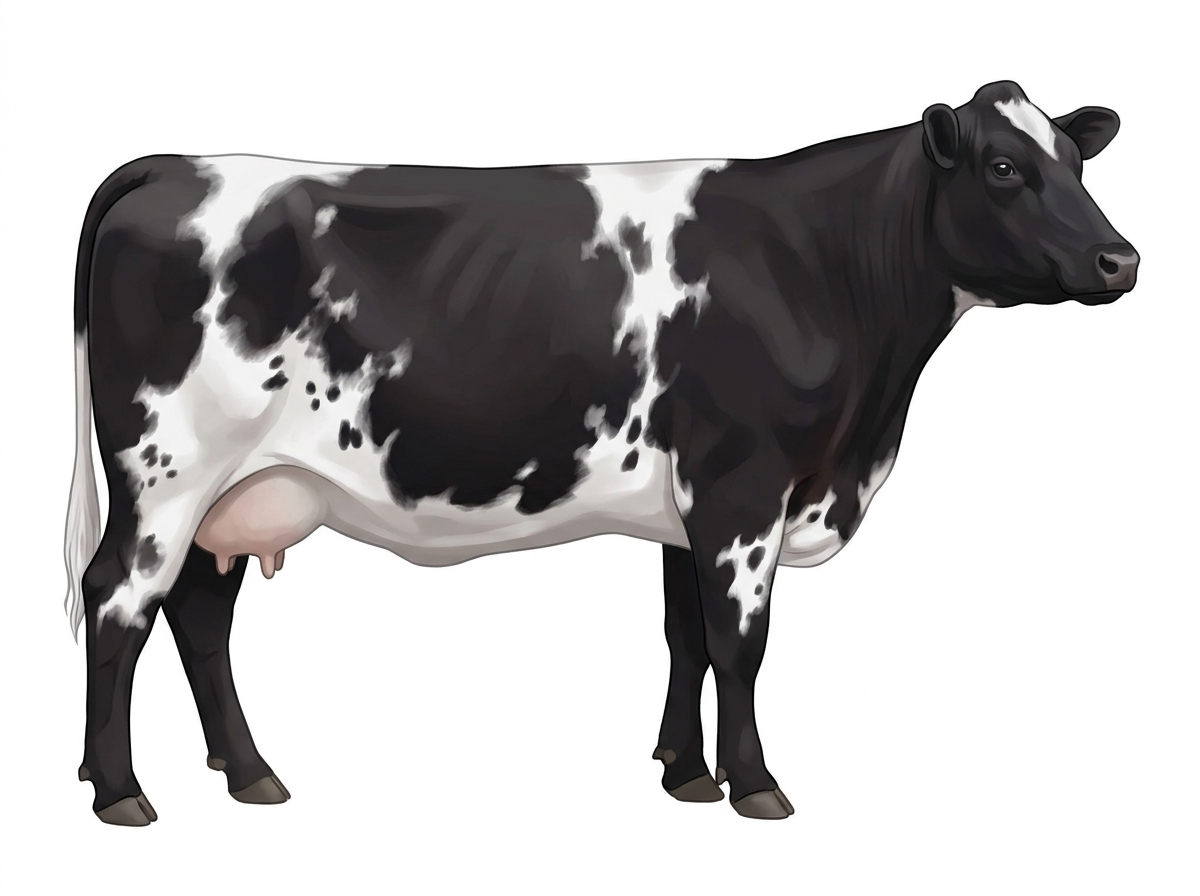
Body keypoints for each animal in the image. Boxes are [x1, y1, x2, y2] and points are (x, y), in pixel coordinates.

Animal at [64, 80, 1139, 825]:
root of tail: (175, 163)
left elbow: (685, 637)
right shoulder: (744, 486)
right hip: (168, 471)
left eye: (1076, 163)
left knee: (199, 618)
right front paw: (756, 785)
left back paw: (250, 774)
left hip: (230, 494)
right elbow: (741, 643)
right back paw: (120, 794)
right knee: (117, 600)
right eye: (1004, 169)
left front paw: (687, 774)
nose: (1121, 259)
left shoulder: (690, 506)